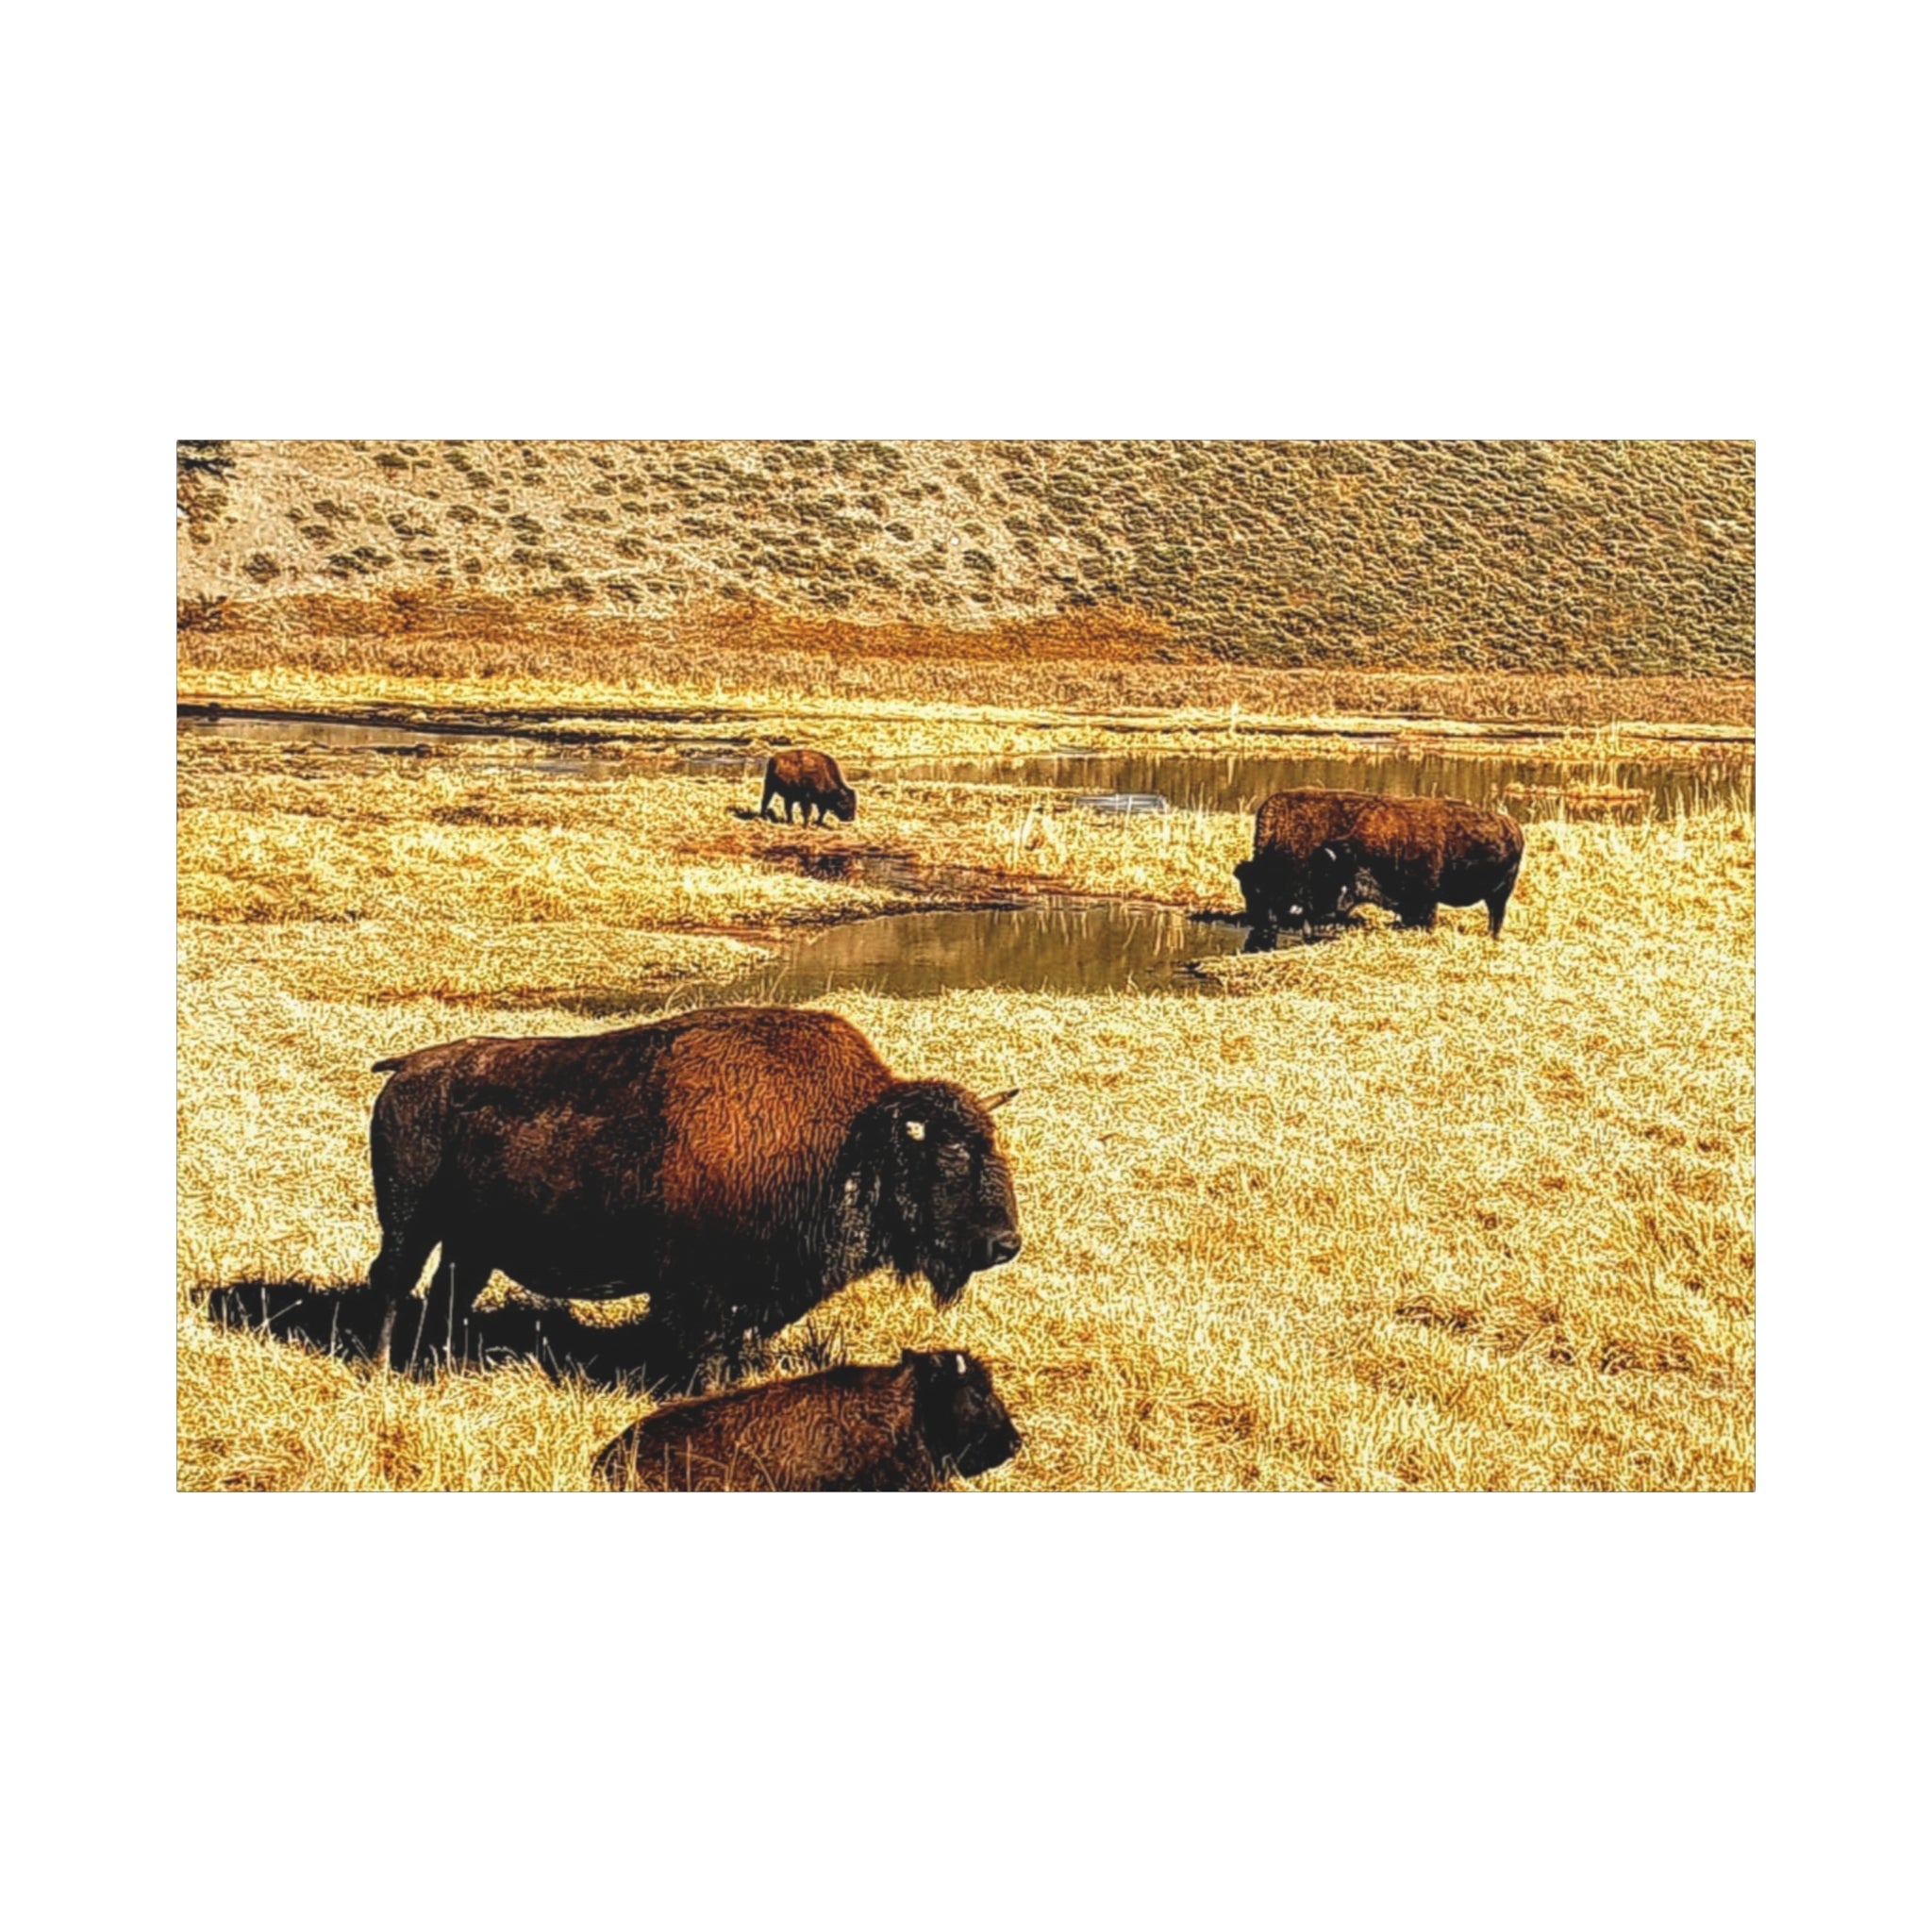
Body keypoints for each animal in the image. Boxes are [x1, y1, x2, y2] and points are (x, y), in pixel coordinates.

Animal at [366, 1006, 1021, 1387]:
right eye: (949, 1158)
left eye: (995, 1150)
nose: (1005, 1243)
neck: (846, 1139)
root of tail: (408, 1068)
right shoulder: (697, 1287)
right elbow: (705, 1347)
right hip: (408, 1222)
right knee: (392, 1282)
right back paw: (382, 1368)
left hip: (469, 1242)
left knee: (449, 1292)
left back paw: (443, 1364)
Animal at [1236, 788, 1524, 943]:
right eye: (1247, 891)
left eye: (1262, 890)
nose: (1259, 923)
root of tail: (1512, 826)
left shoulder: (1424, 899)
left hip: (1500, 894)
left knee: (1496, 915)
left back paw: (1492, 936)